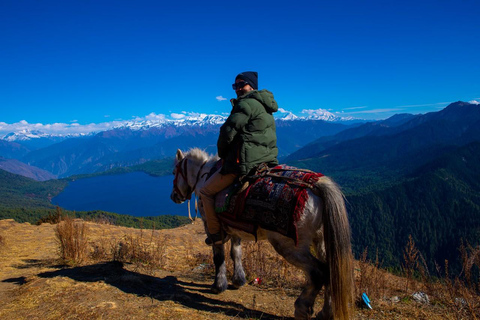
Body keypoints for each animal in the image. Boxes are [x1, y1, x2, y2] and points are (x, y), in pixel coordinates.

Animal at [170, 149, 352, 320]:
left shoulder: (211, 226)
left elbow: (219, 256)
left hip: (290, 246)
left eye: (173, 172)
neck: (204, 175)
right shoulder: (234, 228)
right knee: (331, 269)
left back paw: (302, 308)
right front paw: (238, 280)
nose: (173, 197)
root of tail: (316, 187)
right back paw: (326, 312)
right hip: (321, 240)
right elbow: (236, 253)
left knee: (318, 272)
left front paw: (218, 286)